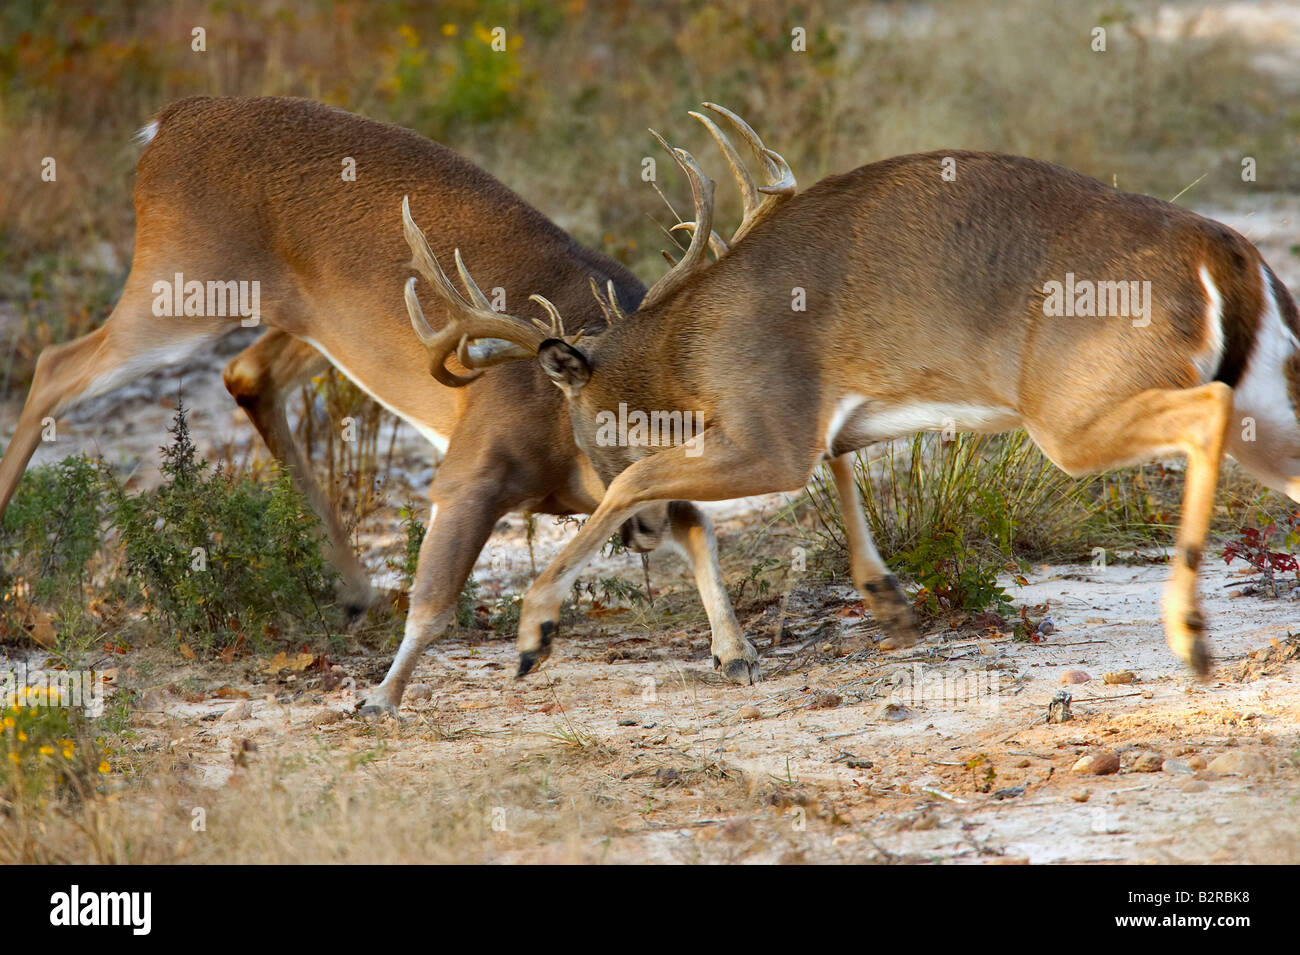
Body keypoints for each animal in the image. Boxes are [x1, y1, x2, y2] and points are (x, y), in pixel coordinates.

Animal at [0, 96, 794, 714]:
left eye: (680, 416)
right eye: (601, 420)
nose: (645, 525)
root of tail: (165, 124)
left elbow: (702, 530)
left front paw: (736, 652)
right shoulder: (472, 465)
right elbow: (435, 595)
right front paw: (380, 697)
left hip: (309, 322)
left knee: (245, 373)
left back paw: (354, 590)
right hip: (182, 278)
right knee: (55, 366)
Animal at [402, 109, 1300, 682]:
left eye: (582, 423)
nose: (644, 539)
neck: (690, 346)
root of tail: (1226, 251)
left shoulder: (769, 429)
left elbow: (642, 476)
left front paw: (535, 630)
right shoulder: (829, 412)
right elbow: (840, 462)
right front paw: (889, 600)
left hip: (1077, 411)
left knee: (1204, 415)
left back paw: (1189, 634)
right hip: (1261, 400)